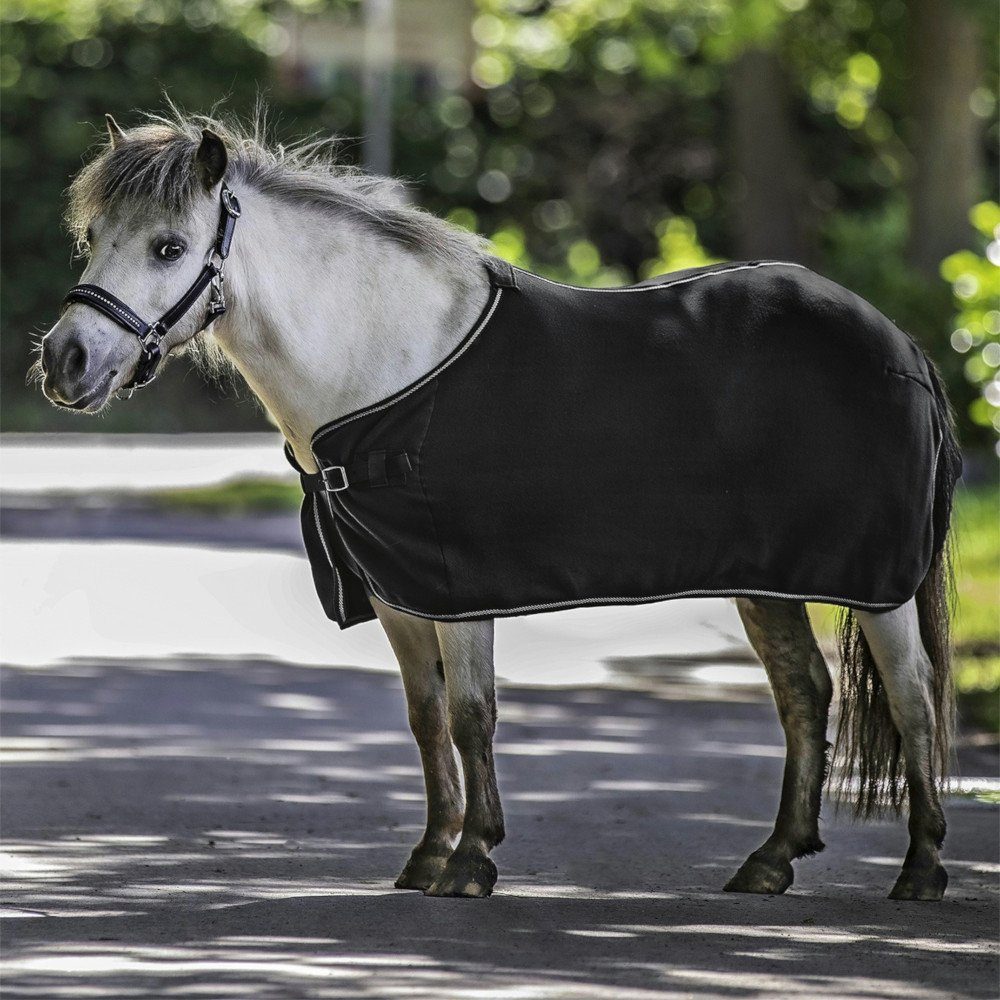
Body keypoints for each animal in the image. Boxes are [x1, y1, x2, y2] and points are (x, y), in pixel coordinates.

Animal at [37, 113, 960, 904]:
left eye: (169, 246)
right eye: (93, 239)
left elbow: (472, 715)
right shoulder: (397, 592)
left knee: (914, 695)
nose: (65, 361)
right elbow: (426, 718)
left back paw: (920, 869)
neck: (383, 362)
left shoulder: (456, 584)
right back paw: (771, 861)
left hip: (876, 582)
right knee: (805, 692)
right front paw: (429, 853)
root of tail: (903, 345)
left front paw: (473, 859)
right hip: (769, 580)